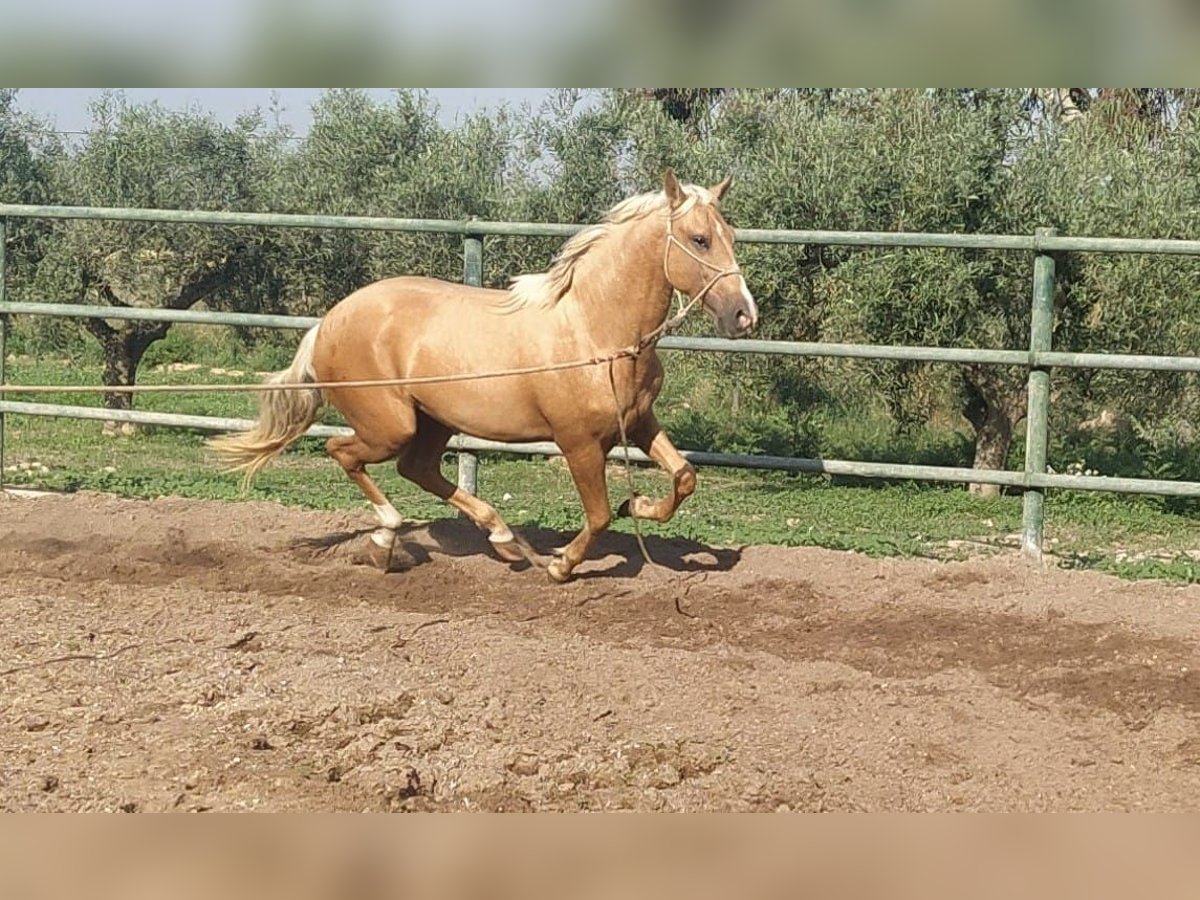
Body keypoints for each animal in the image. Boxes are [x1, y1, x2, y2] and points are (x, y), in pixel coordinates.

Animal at [213, 172, 758, 585]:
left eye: (732, 237)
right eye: (699, 239)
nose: (744, 316)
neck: (594, 332)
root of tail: (327, 322)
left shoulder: (640, 422)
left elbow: (684, 477)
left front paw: (637, 503)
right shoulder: (578, 442)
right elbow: (599, 515)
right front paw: (561, 565)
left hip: (433, 421)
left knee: (417, 469)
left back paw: (504, 539)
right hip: (390, 425)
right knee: (344, 452)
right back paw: (388, 539)